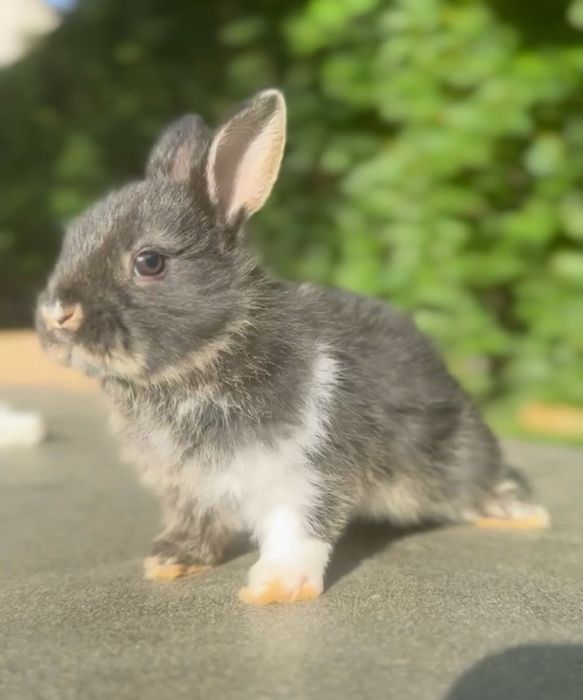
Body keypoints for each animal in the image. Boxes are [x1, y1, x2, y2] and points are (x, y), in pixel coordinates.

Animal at [36, 89, 549, 605]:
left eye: (149, 262)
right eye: (71, 240)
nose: (57, 313)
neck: (208, 355)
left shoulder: (309, 467)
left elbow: (298, 529)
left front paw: (275, 588)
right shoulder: (191, 487)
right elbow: (196, 522)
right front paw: (169, 562)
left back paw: (520, 514)